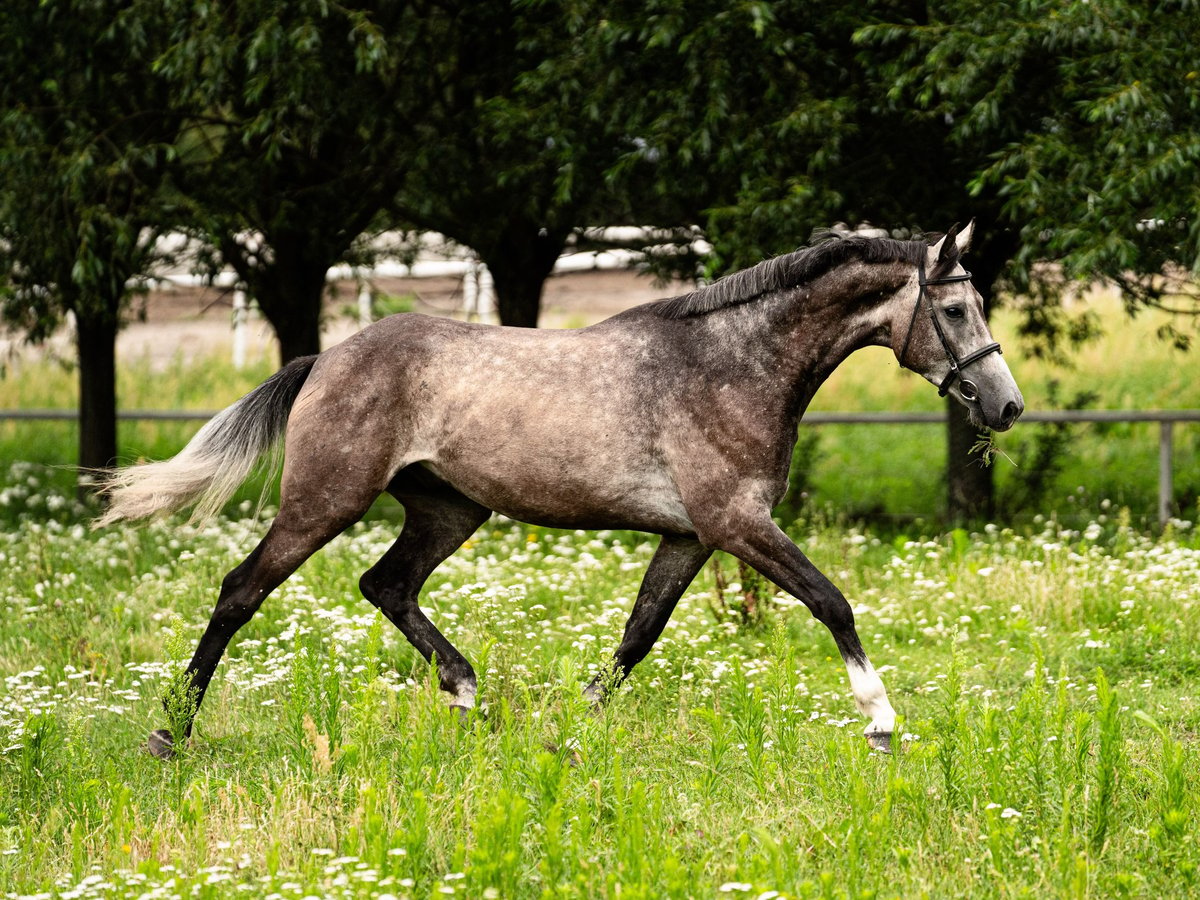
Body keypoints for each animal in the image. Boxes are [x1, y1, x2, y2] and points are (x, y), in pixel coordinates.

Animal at [98, 222, 1027, 758]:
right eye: (954, 312)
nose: (1006, 405)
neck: (732, 365)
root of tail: (326, 356)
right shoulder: (735, 523)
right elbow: (833, 601)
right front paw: (881, 721)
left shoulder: (691, 536)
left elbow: (637, 636)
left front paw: (568, 733)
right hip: (326, 502)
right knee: (242, 589)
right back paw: (171, 732)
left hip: (450, 508)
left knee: (385, 584)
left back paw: (468, 695)